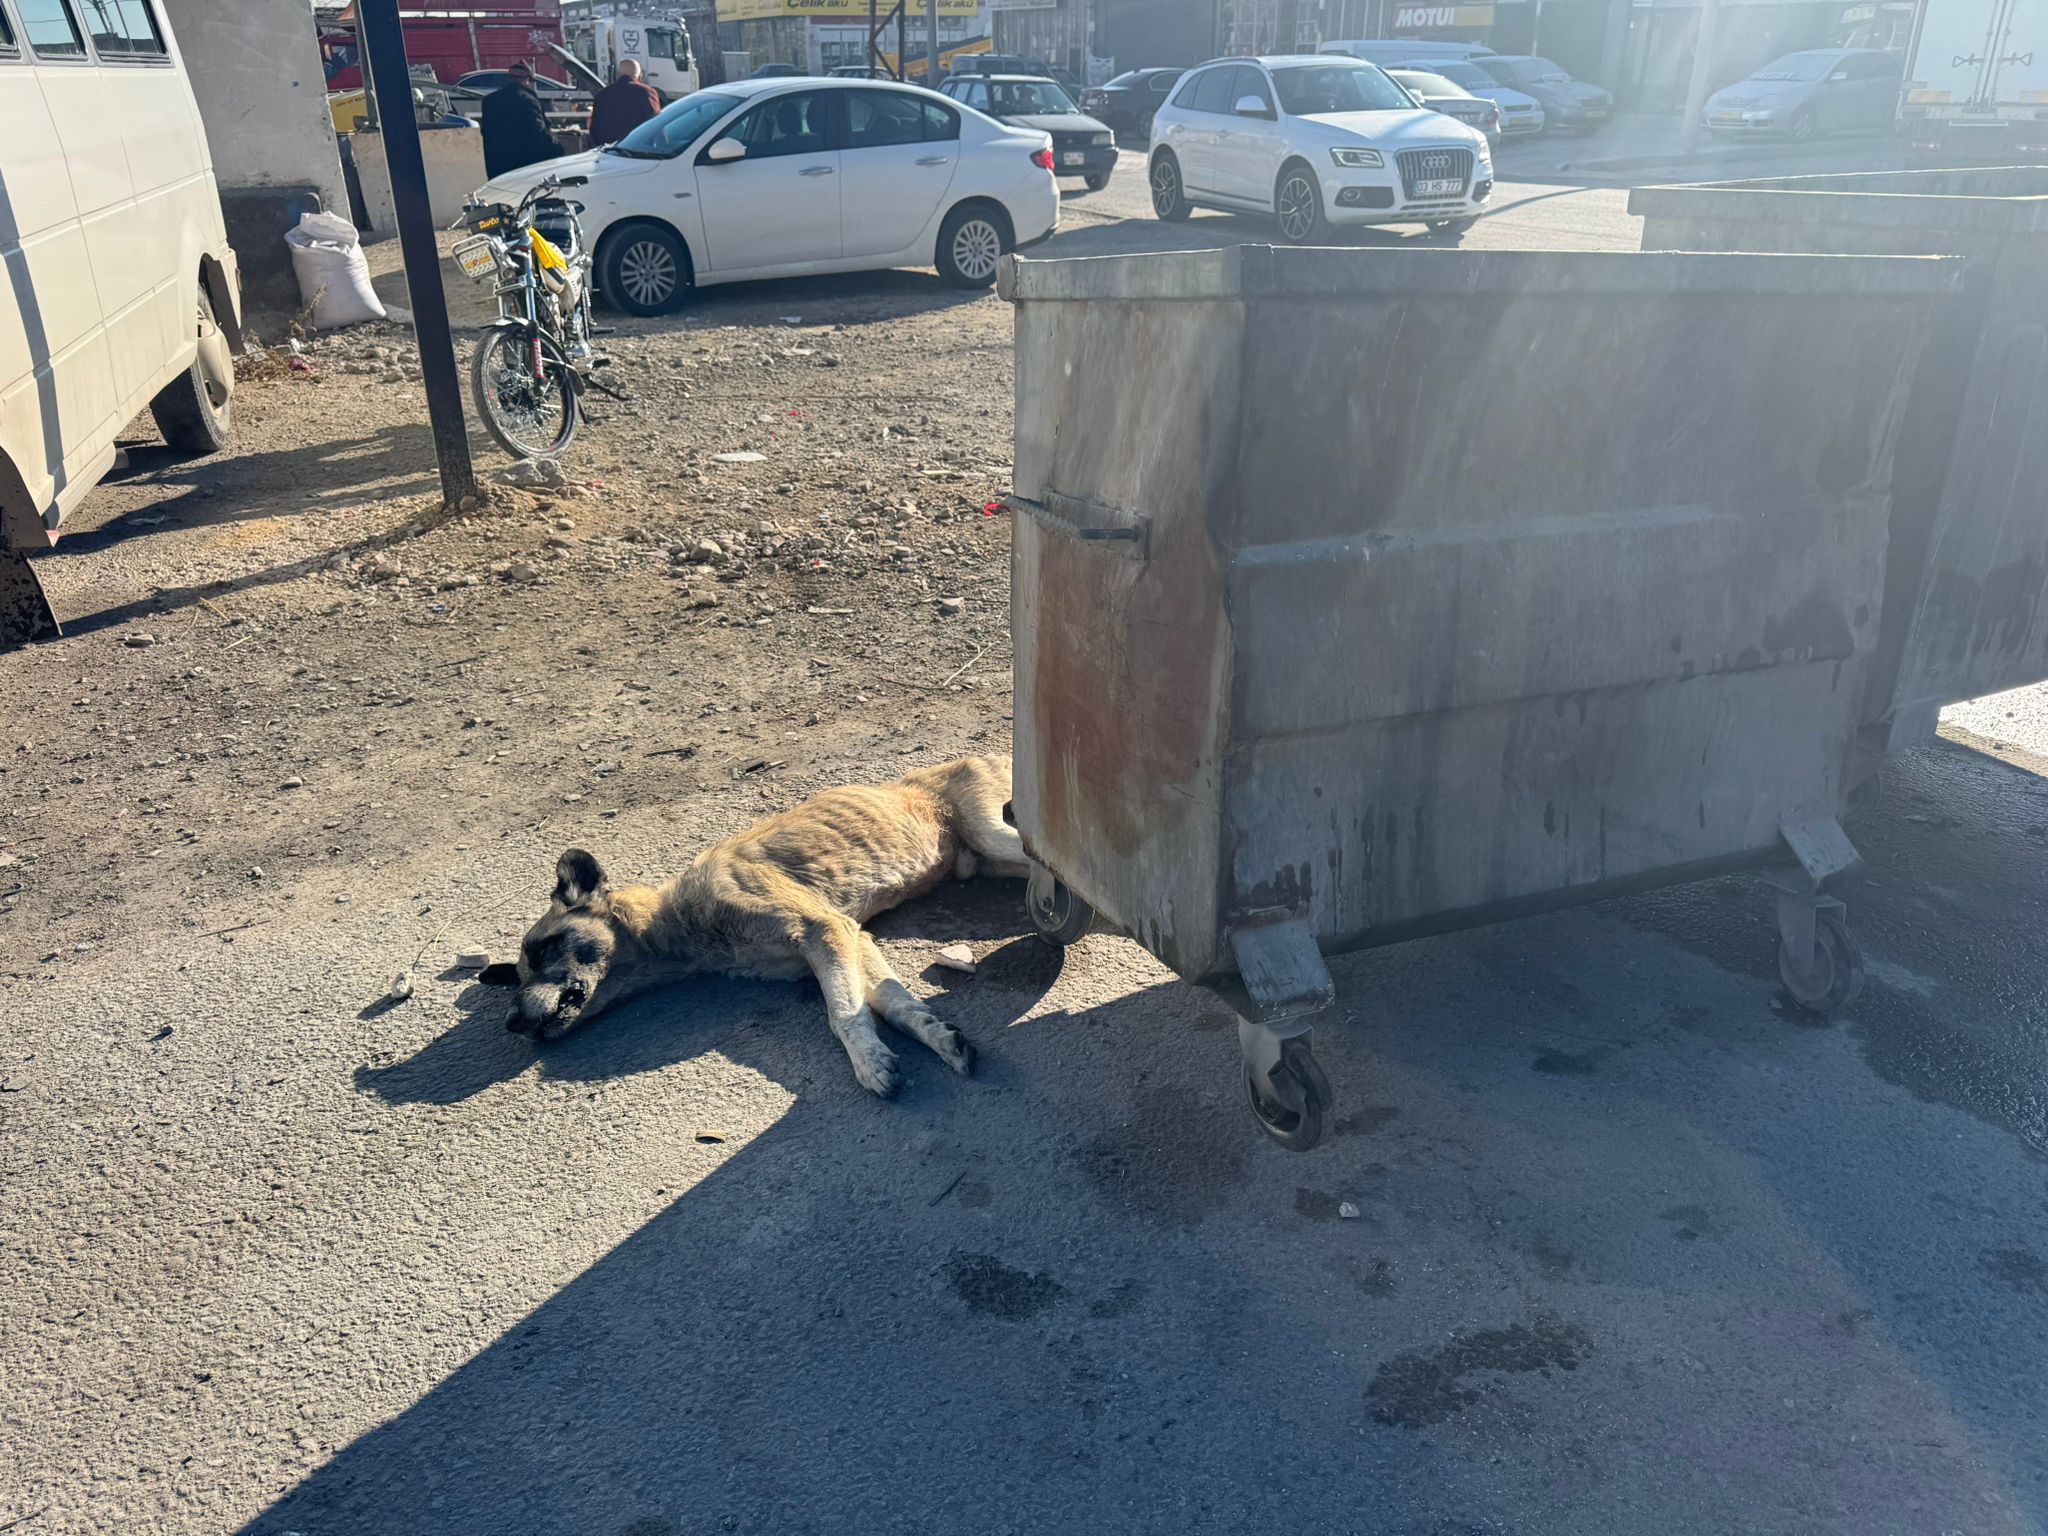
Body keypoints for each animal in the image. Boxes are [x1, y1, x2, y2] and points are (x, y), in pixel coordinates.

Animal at [483, 755, 1032, 1096]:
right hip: (989, 861)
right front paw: (939, 1038)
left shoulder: (822, 930)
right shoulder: (852, 939)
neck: (680, 921)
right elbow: (892, 1003)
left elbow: (843, 1015)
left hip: (1001, 837)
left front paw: (869, 1063)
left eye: (542, 949)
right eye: (519, 972)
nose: (510, 1023)